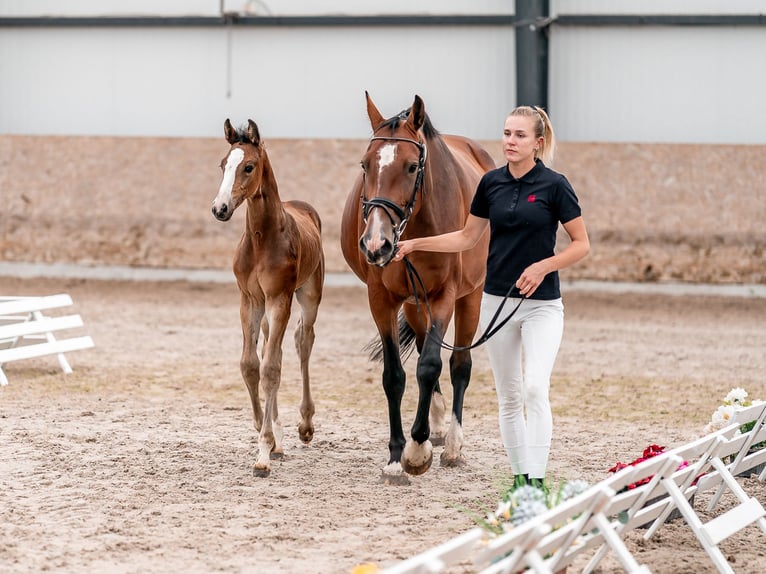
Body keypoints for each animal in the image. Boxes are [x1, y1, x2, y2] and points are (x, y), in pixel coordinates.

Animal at [212, 117, 326, 476]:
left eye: (248, 166)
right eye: (223, 164)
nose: (219, 208)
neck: (263, 240)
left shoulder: (279, 299)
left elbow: (272, 369)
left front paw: (263, 453)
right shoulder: (249, 300)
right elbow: (251, 365)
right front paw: (270, 439)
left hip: (309, 295)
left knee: (304, 341)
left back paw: (305, 425)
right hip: (265, 313)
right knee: (268, 348)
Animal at [340, 94, 496, 486]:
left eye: (412, 167)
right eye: (364, 164)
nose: (376, 244)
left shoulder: (444, 296)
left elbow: (429, 365)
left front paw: (416, 451)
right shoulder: (381, 299)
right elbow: (395, 376)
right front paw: (397, 458)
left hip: (469, 297)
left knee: (458, 365)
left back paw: (452, 445)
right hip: (413, 304)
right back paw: (437, 429)